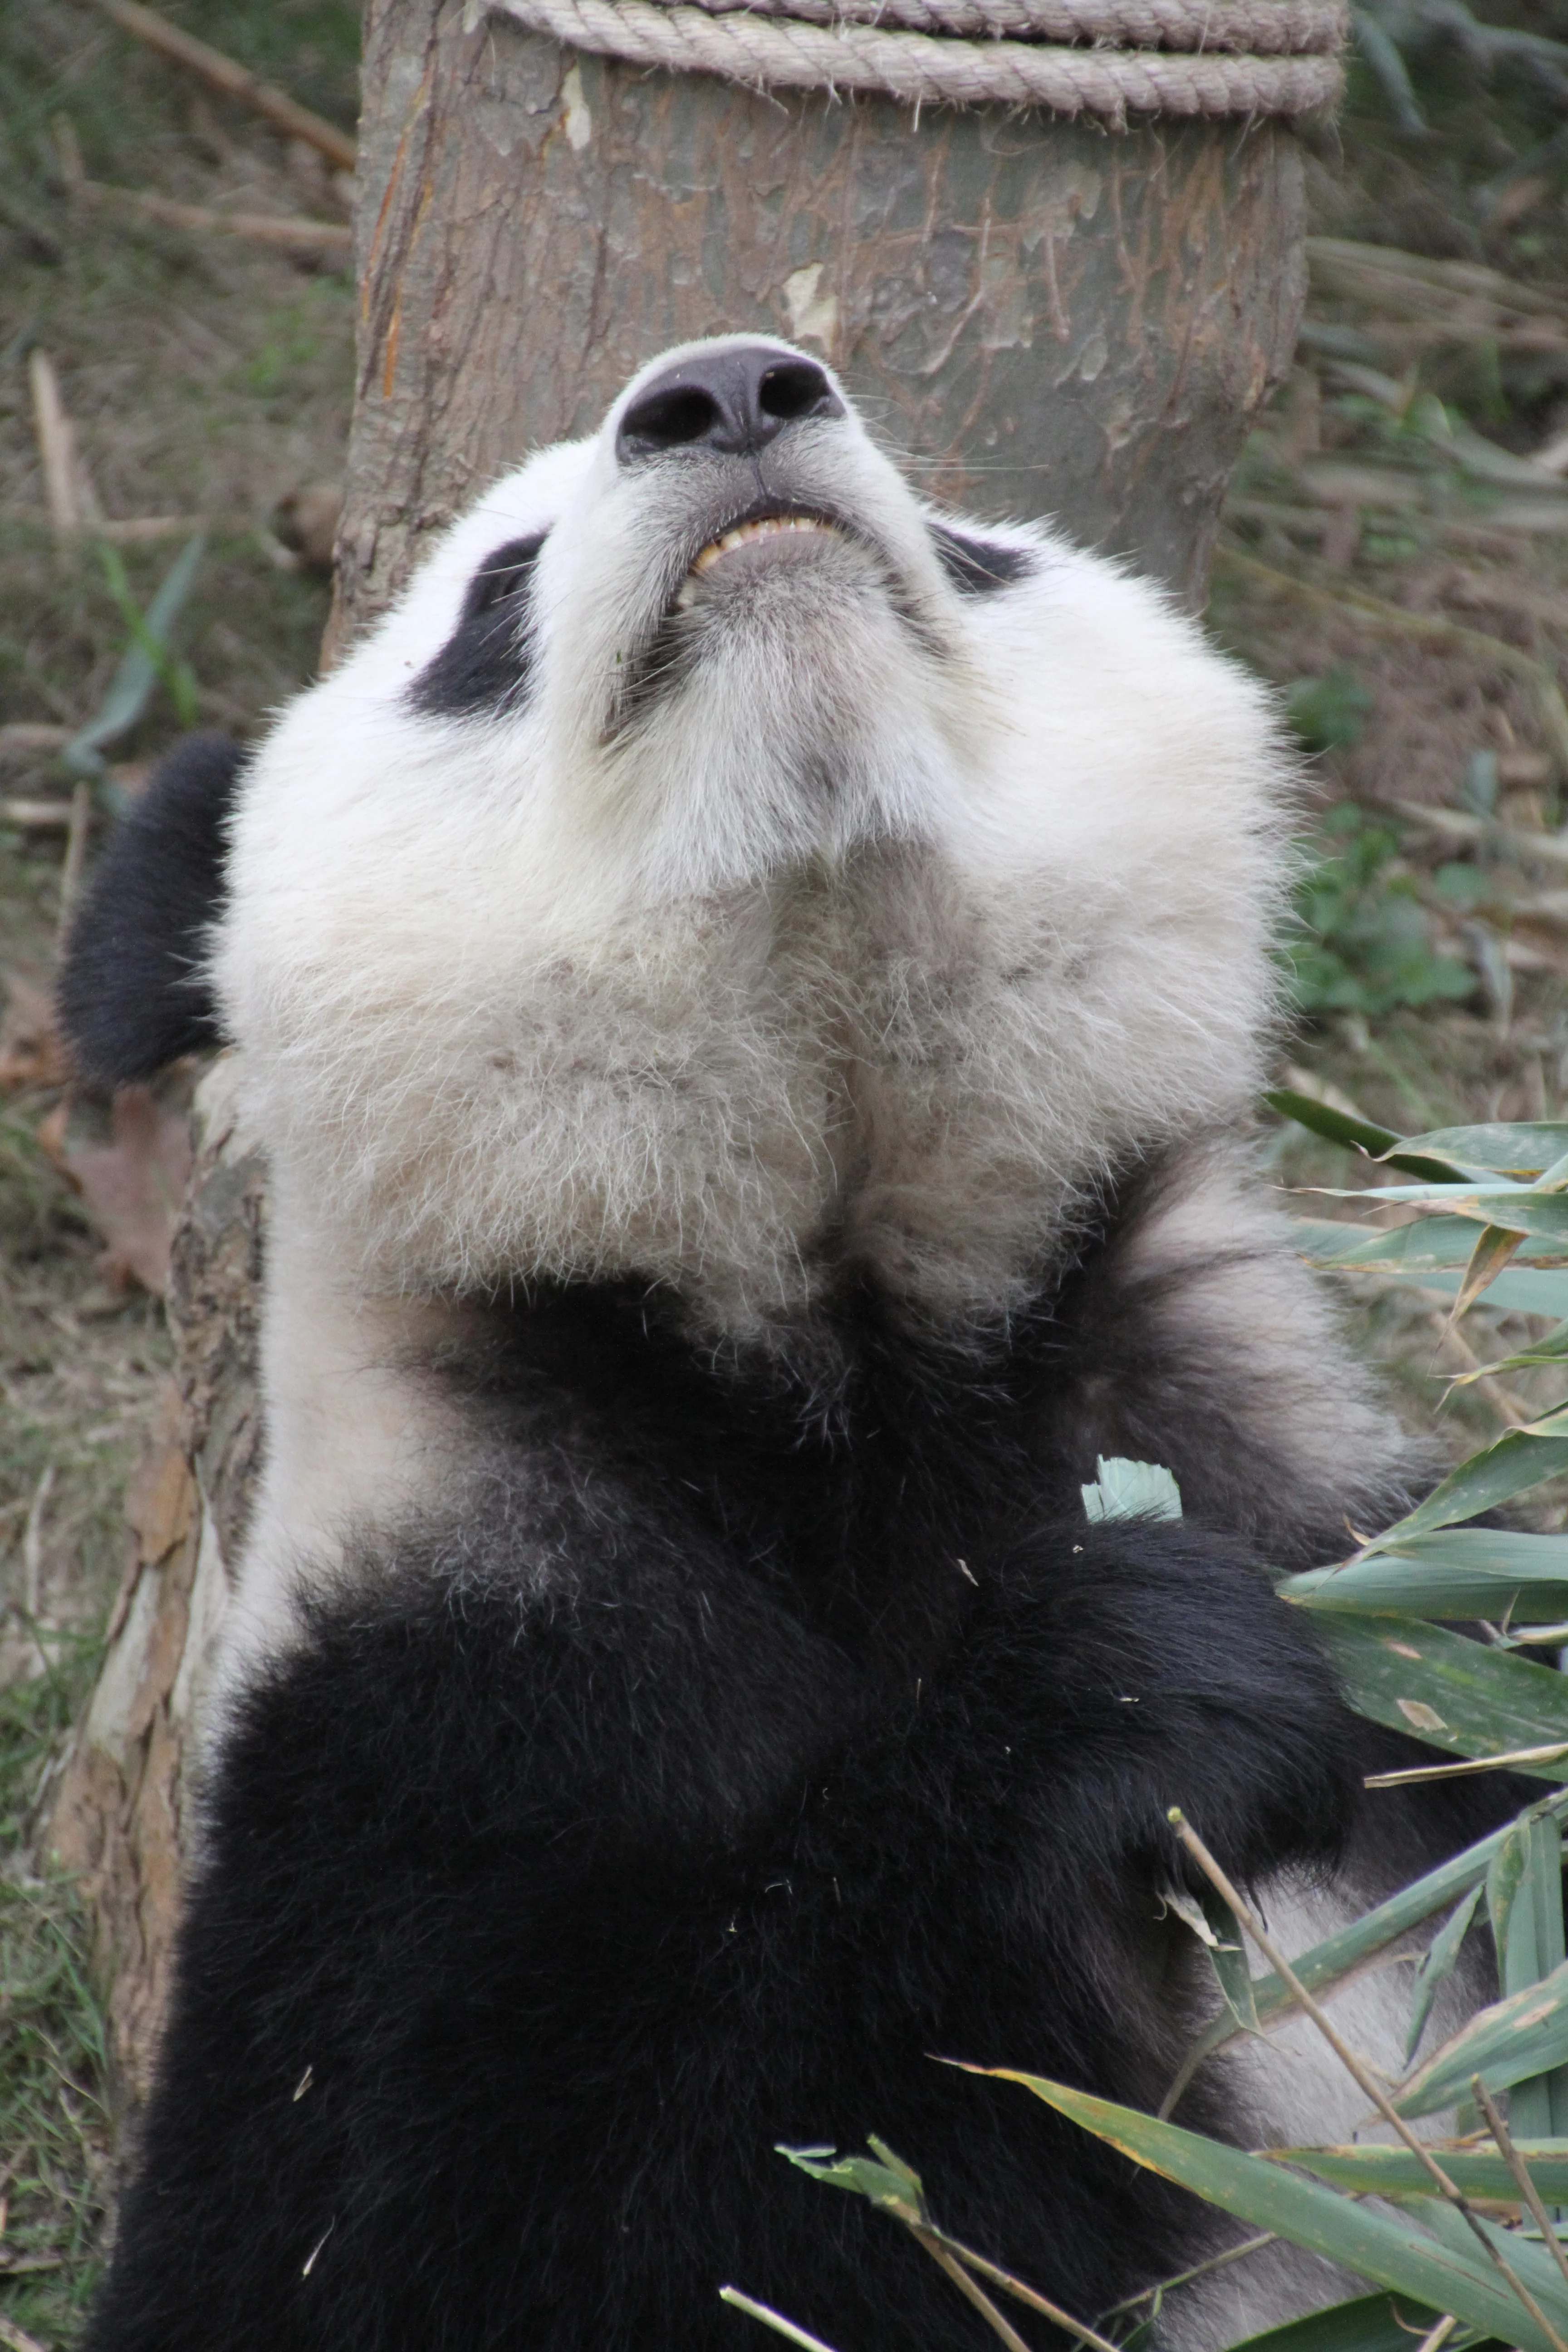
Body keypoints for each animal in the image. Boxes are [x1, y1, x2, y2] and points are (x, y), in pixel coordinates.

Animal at [61, 336, 1500, 2352]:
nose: (730, 386)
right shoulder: (436, 1706)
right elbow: (488, 2235)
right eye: (494, 596)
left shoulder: (1356, 1554)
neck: (844, 1328)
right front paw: (1129, 1691)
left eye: (972, 544)